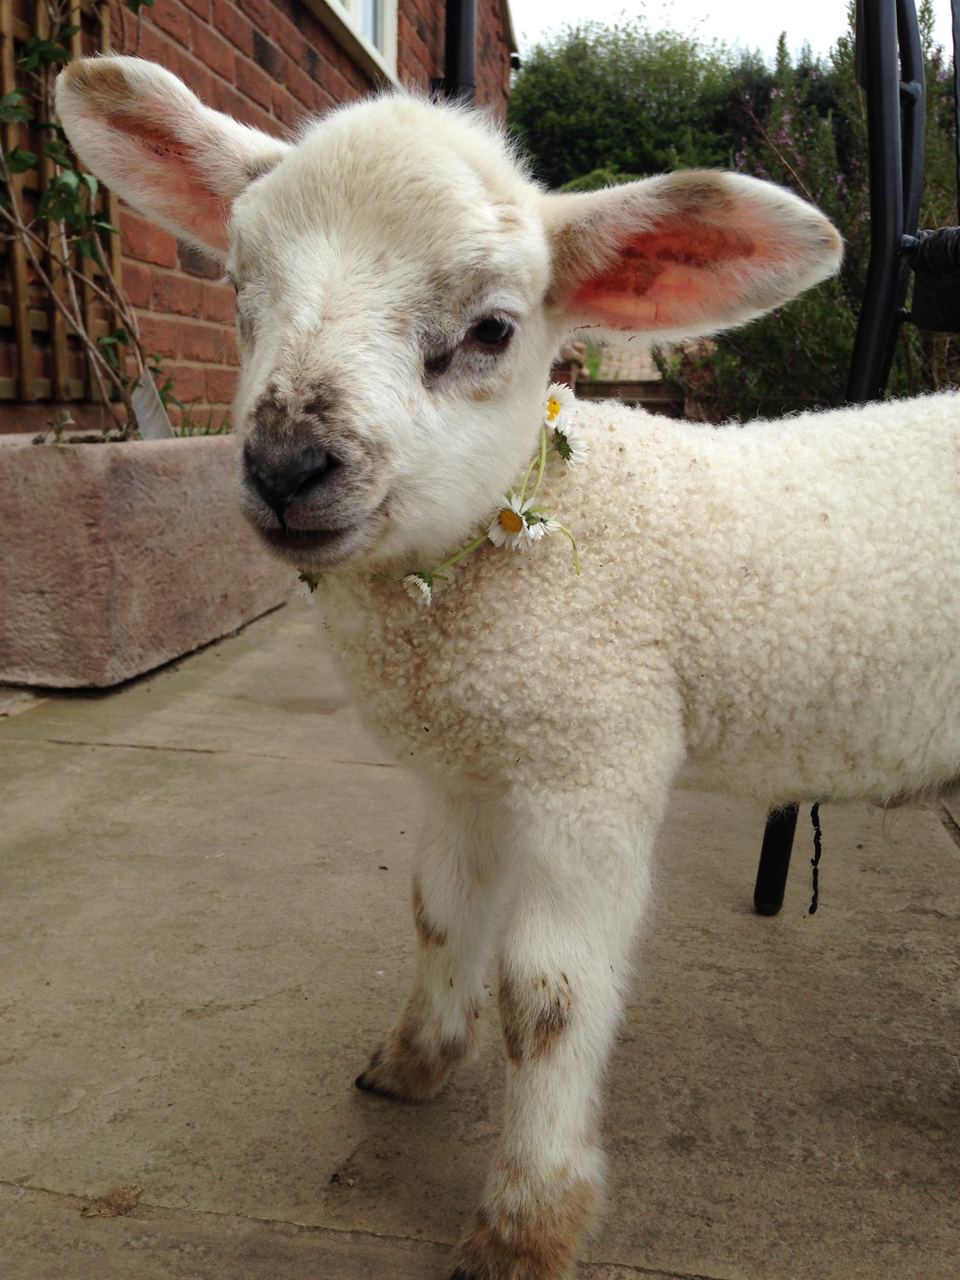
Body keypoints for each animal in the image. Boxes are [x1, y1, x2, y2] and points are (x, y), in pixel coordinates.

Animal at [56, 56, 960, 1280]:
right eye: (239, 291)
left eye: (490, 329)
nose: (288, 466)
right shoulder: (469, 765)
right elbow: (439, 915)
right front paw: (412, 1062)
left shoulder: (599, 758)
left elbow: (548, 997)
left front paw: (525, 1223)